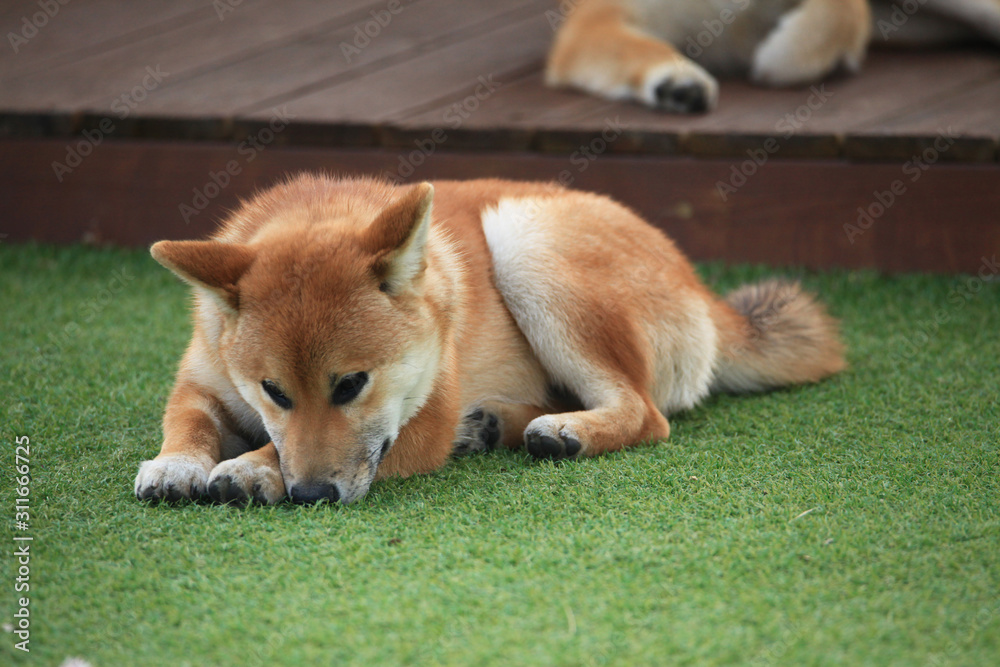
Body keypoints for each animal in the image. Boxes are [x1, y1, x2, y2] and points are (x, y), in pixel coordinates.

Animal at [137, 177, 848, 506]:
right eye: (273, 391)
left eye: (351, 385)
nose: (311, 495)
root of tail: (699, 284)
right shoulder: (201, 381)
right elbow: (188, 421)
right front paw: (177, 464)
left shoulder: (422, 425)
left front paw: (255, 468)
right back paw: (499, 423)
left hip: (524, 243)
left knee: (645, 413)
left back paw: (565, 432)